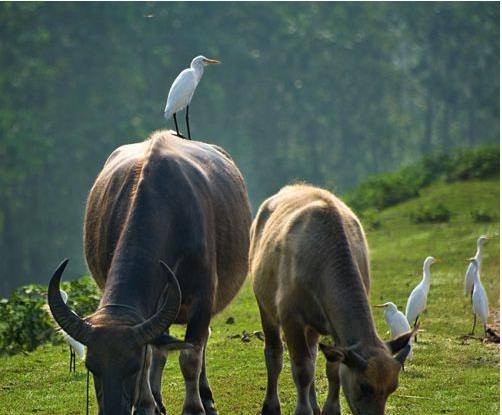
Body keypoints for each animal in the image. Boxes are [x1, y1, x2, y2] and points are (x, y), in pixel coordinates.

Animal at [47, 132, 251, 415]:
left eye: (130, 367)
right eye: (92, 367)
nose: (113, 410)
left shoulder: (203, 297)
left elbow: (190, 356)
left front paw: (194, 407)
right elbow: (153, 353)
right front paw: (145, 405)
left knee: (199, 343)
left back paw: (206, 398)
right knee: (160, 350)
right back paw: (157, 398)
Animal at [249, 185, 414, 415]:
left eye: (393, 387)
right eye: (364, 386)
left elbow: (332, 369)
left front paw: (331, 408)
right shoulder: (291, 318)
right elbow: (302, 370)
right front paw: (303, 410)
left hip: (312, 326)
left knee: (312, 355)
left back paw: (315, 405)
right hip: (264, 306)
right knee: (275, 355)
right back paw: (272, 406)